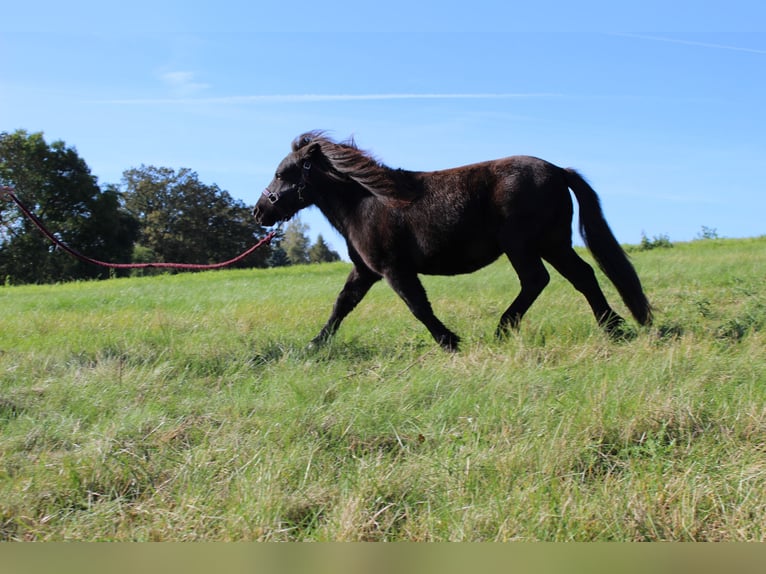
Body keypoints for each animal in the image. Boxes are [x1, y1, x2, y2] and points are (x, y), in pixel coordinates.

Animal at [255, 133, 652, 354]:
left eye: (281, 174)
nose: (260, 211)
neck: (367, 202)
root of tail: (558, 171)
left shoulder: (393, 269)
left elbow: (418, 306)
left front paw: (450, 342)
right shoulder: (365, 271)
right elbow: (342, 305)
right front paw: (315, 344)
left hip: (523, 245)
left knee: (537, 280)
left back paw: (503, 328)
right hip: (553, 243)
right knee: (583, 276)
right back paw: (613, 327)